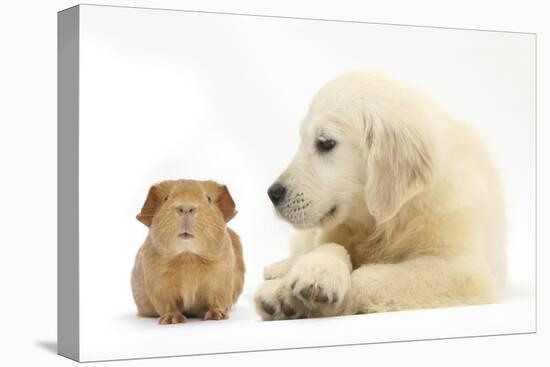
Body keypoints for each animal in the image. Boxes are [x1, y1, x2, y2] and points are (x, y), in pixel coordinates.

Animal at [256, 70, 506, 320]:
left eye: (325, 143)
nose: (272, 194)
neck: (386, 220)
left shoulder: (463, 269)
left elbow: (375, 277)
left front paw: (296, 295)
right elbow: (331, 246)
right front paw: (306, 277)